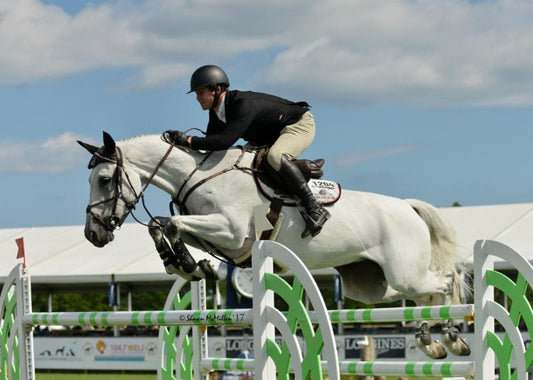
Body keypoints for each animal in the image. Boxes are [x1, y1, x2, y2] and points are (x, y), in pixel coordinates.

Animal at [78, 131, 470, 360]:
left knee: (446, 282)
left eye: (104, 179)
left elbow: (168, 222)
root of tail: (407, 206)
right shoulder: (219, 236)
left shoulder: (233, 232)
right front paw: (190, 265)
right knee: (422, 297)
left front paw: (184, 263)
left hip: (405, 272)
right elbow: (162, 225)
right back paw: (430, 342)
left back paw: (453, 336)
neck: (199, 175)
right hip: (371, 285)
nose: (93, 234)